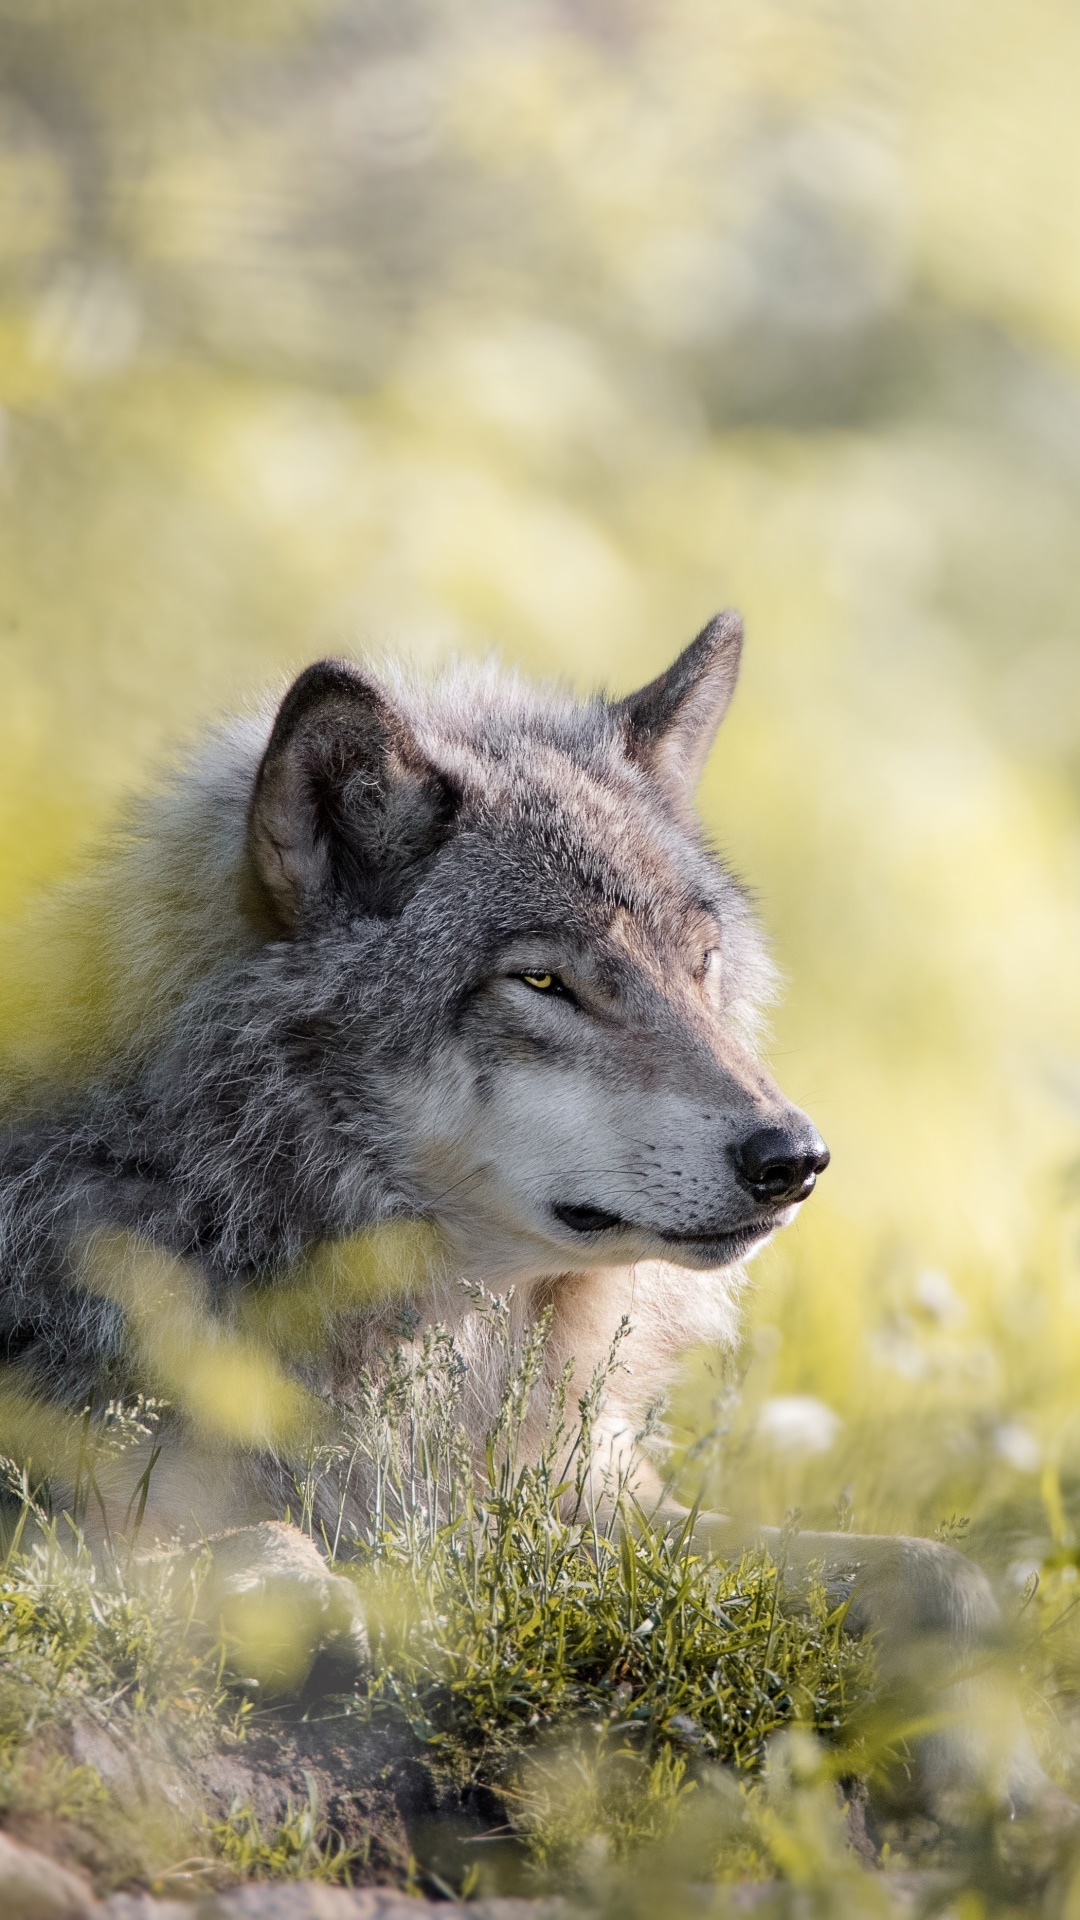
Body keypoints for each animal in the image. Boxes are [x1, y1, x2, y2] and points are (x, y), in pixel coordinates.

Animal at [0, 613, 1043, 1812]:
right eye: (544, 984)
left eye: (700, 967)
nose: (796, 1159)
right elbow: (213, 1545)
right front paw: (292, 1599)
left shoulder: (600, 1505)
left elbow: (941, 1571)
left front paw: (1001, 1758)